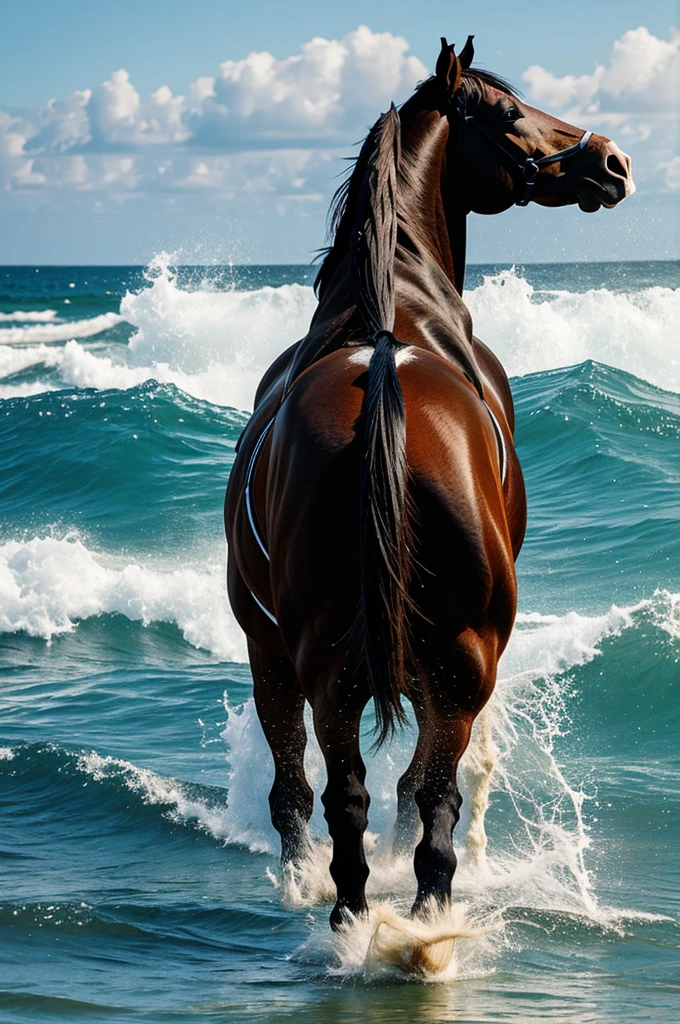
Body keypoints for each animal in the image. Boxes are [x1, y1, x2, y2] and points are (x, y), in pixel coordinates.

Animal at [225, 36, 634, 933]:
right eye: (511, 113)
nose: (611, 161)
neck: (389, 306)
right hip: (426, 662)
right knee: (408, 795)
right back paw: (415, 918)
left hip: (329, 659)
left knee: (341, 796)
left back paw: (352, 917)